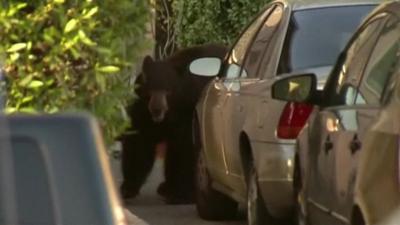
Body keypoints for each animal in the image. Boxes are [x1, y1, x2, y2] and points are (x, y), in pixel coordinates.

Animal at [119, 43, 228, 204]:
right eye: (150, 90)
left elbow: (184, 150)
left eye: (168, 91)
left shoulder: (187, 112)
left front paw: (178, 193)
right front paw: (128, 188)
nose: (157, 109)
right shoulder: (143, 111)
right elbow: (139, 142)